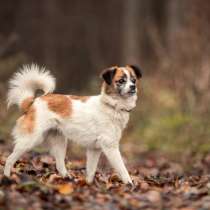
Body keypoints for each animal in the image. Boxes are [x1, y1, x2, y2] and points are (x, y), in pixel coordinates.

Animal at [4, 64, 143, 184]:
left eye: (134, 80)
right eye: (121, 81)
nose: (133, 87)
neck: (111, 106)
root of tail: (33, 102)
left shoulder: (94, 149)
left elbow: (91, 171)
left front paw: (88, 185)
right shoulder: (110, 147)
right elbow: (123, 169)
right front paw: (130, 185)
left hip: (60, 143)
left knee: (59, 165)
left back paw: (67, 179)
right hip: (30, 140)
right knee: (9, 159)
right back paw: (7, 178)